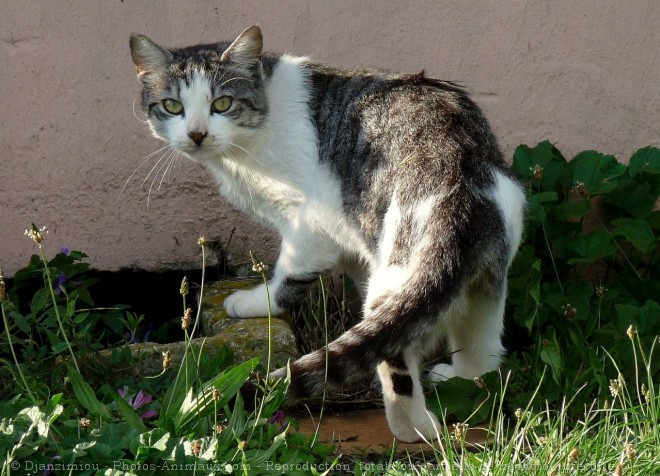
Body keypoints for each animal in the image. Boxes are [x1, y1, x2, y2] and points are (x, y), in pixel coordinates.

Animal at [130, 26, 524, 442]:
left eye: (222, 103)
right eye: (173, 106)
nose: (197, 134)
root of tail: (461, 169)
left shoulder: (309, 223)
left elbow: (290, 273)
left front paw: (258, 301)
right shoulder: (354, 237)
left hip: (399, 267)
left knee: (393, 351)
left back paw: (413, 428)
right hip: (486, 276)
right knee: (481, 344)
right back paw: (462, 379)